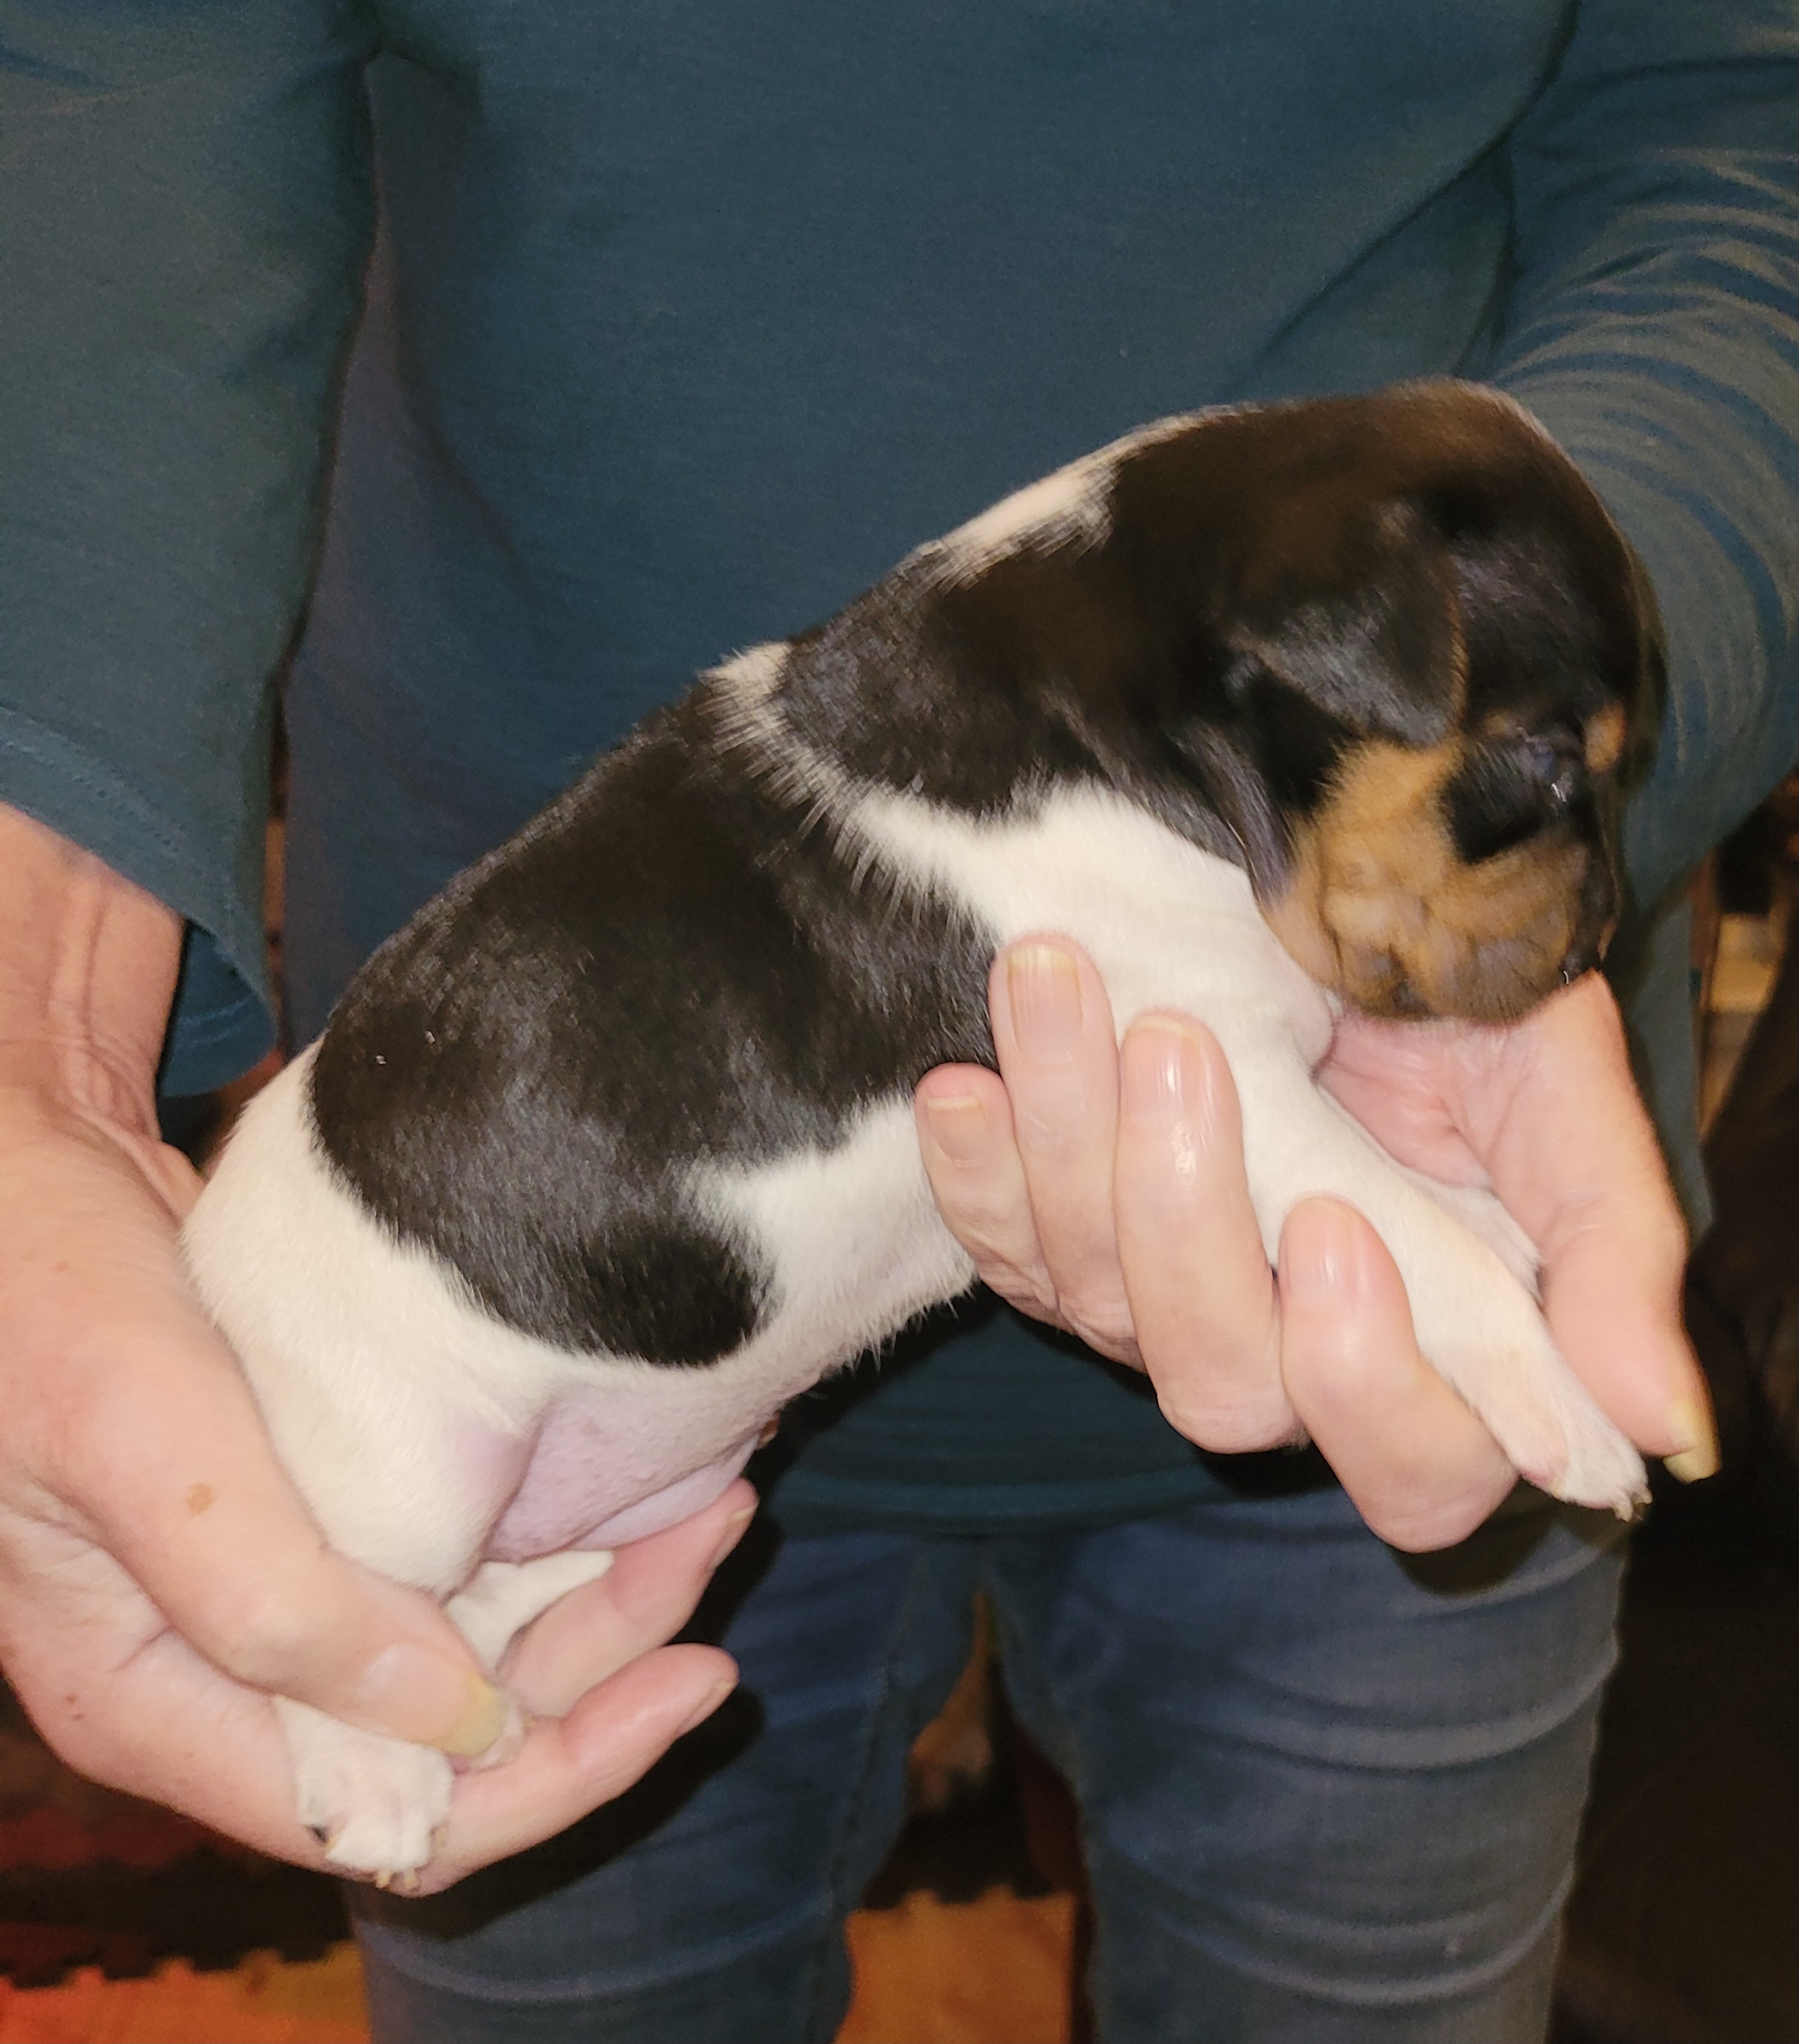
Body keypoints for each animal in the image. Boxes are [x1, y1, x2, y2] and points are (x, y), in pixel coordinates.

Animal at [179, 376, 1660, 1872]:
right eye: (1543, 762)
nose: (1600, 936)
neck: (1143, 760)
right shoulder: (1219, 1077)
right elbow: (1415, 1234)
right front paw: (1557, 1396)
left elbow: (1408, 1200)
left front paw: (1481, 1212)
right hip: (402, 1468)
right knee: (355, 1615)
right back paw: (379, 1771)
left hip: (659, 1479)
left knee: (499, 1591)